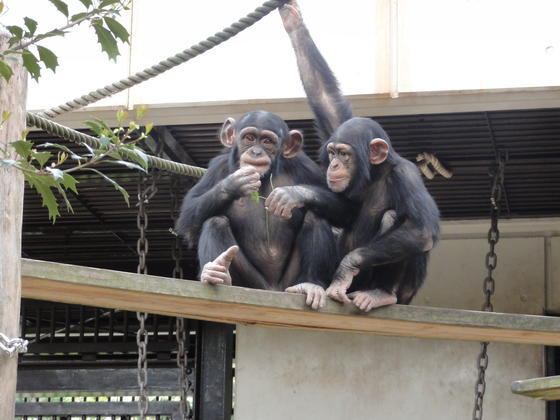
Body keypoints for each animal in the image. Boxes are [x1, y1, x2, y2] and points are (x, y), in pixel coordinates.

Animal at [175, 110, 336, 310]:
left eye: (267, 141)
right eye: (249, 138)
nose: (256, 152)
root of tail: (273, 289)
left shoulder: (304, 165)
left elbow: (344, 204)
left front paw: (290, 195)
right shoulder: (217, 167)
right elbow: (188, 218)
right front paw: (234, 183)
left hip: (289, 283)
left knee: (315, 217)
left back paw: (310, 284)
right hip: (252, 283)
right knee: (215, 222)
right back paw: (219, 275)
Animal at [264, 0, 440, 312]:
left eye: (344, 155)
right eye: (333, 151)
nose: (334, 164)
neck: (375, 173)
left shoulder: (407, 175)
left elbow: (421, 230)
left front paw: (347, 267)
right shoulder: (337, 126)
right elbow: (325, 98)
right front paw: (293, 22)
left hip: (405, 292)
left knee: (396, 219)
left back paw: (379, 293)